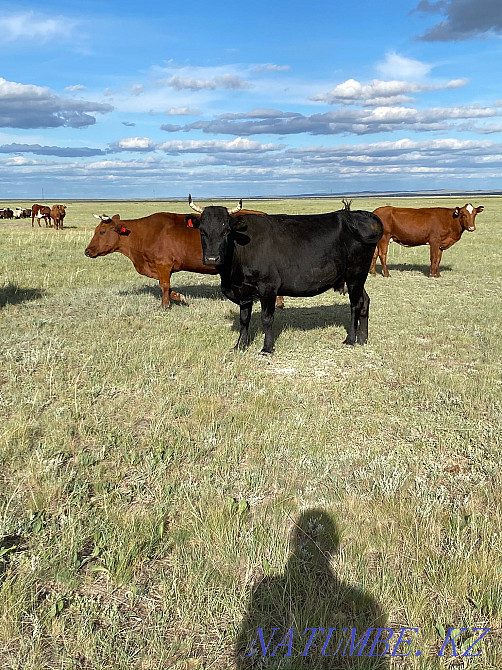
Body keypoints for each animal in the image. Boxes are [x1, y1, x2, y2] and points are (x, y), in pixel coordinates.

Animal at [85, 211, 285, 309]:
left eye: (102, 231)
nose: (87, 251)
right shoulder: (163, 268)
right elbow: (168, 286)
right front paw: (179, 298)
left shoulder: (163, 264)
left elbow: (164, 286)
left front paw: (165, 305)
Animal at [187, 196, 383, 354]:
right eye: (202, 231)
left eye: (226, 231)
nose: (212, 258)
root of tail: (357, 214)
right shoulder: (243, 291)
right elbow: (244, 319)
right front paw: (239, 346)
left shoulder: (267, 287)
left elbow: (267, 318)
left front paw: (267, 348)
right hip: (356, 278)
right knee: (365, 301)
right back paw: (362, 339)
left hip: (355, 274)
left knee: (355, 305)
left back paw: (350, 339)